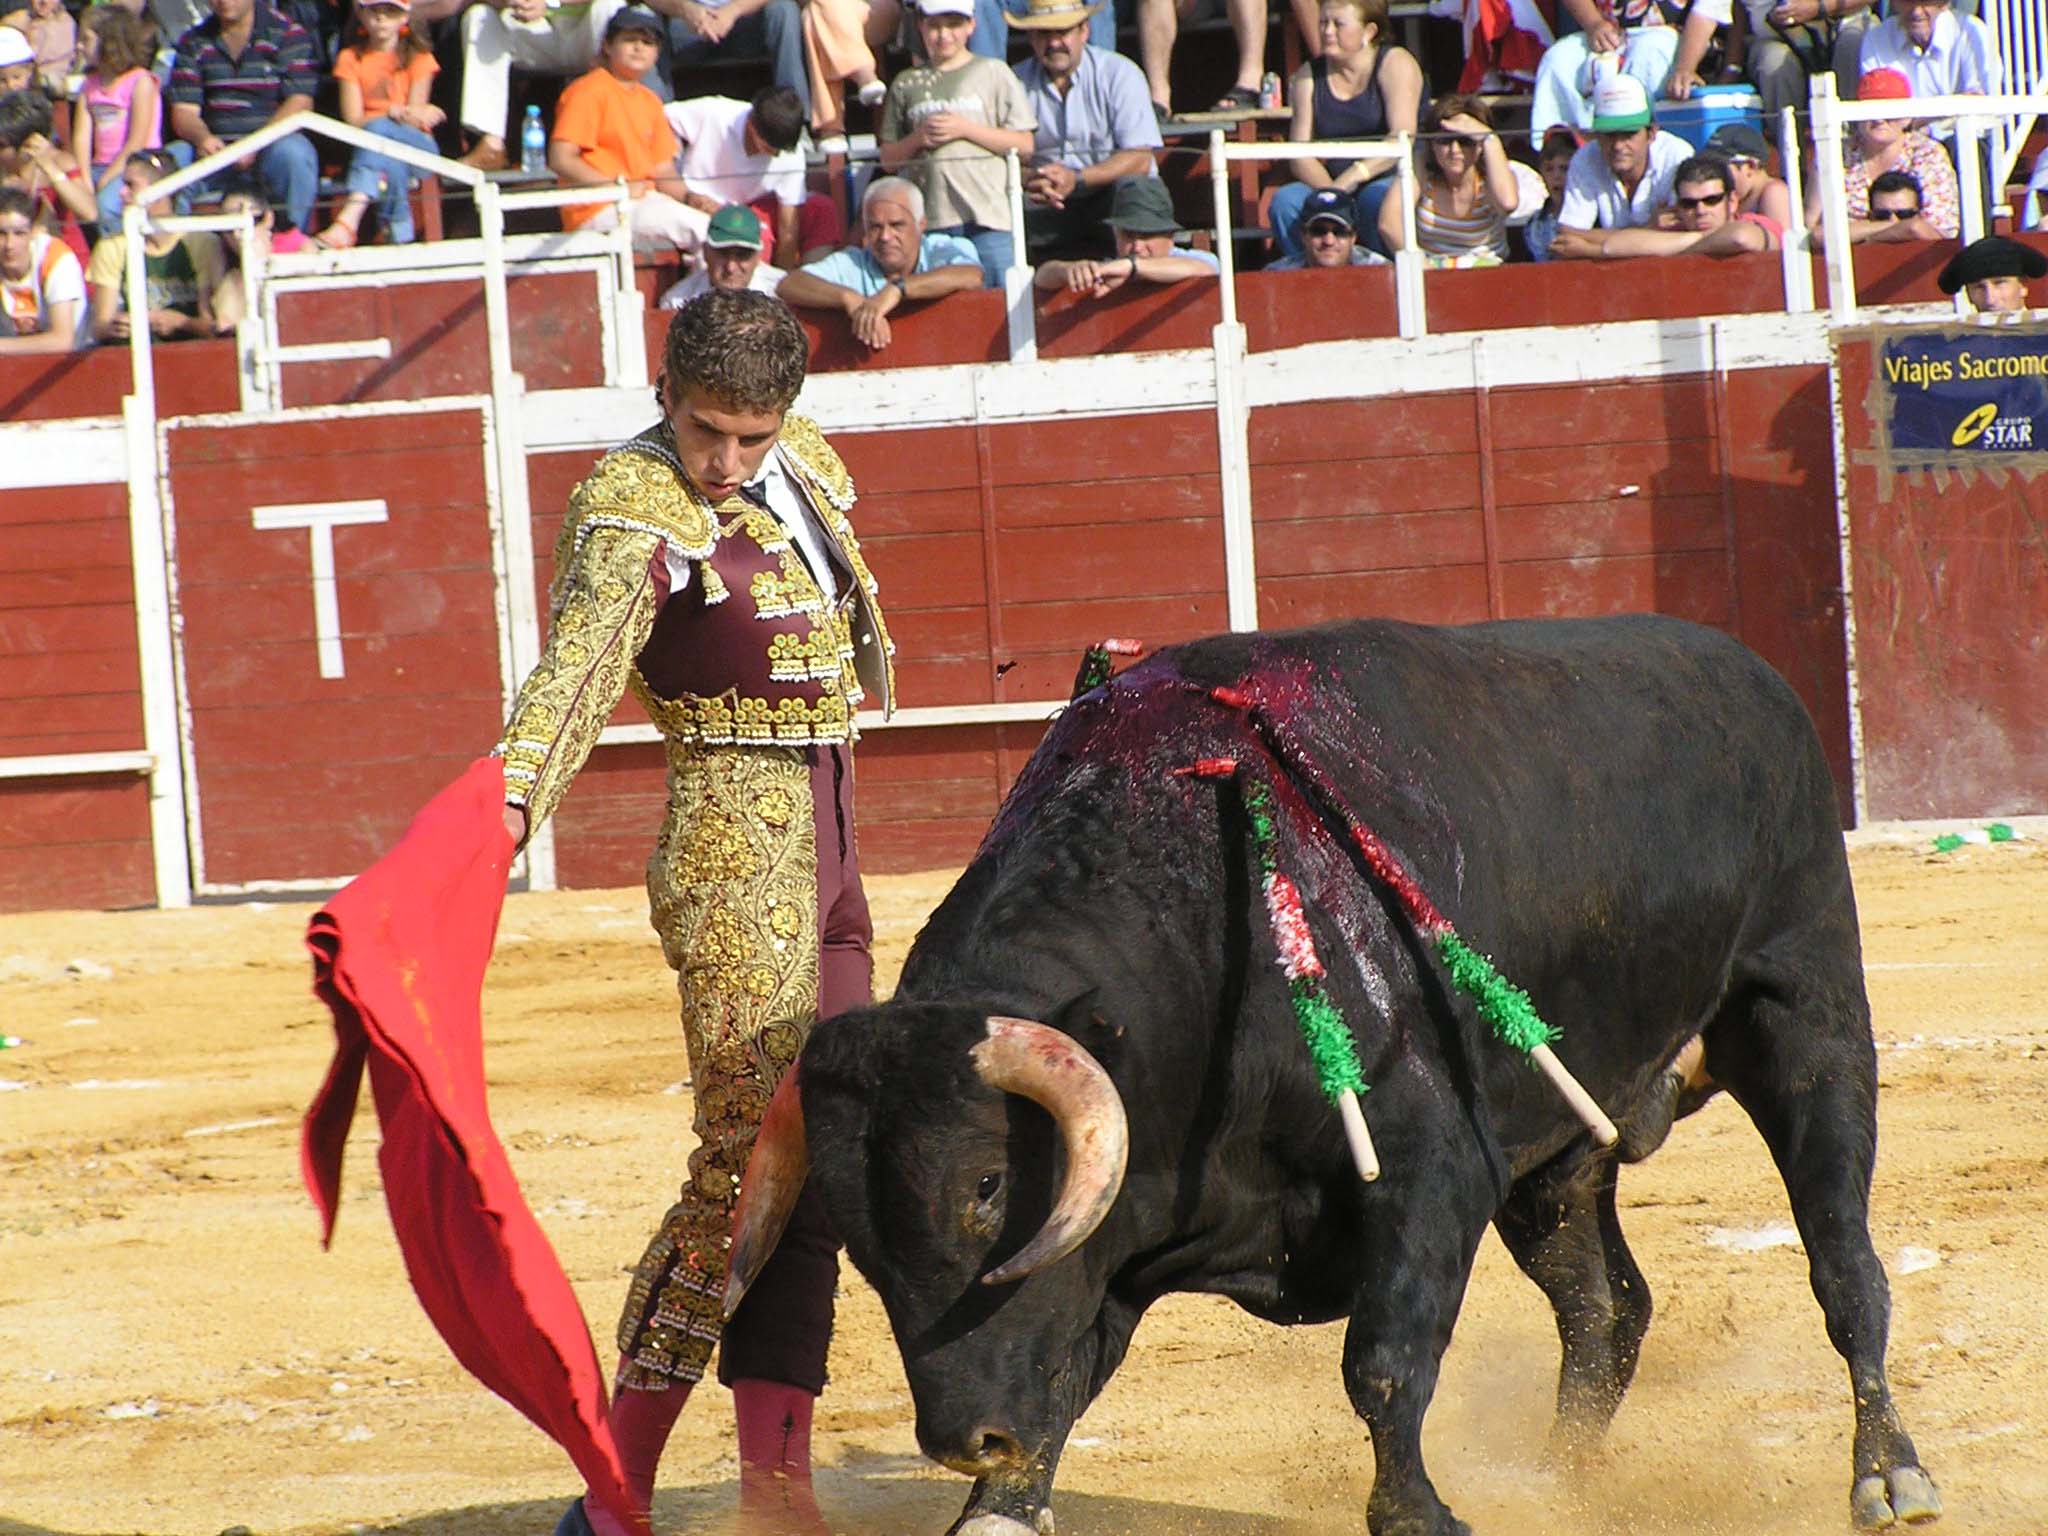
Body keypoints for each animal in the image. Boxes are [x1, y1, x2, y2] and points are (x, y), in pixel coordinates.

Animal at [729, 618, 1941, 1536]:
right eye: (848, 1228)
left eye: (985, 1185)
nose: (962, 1440)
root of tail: (1746, 671)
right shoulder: (1118, 1243)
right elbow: (1064, 1369)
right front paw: (996, 1509)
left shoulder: (1430, 1166)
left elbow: (1385, 1360)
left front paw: (1417, 1515)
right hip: (1555, 1154)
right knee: (1605, 1308)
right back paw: (1558, 1485)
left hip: (1807, 1016)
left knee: (1843, 1267)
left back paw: (1889, 1475)